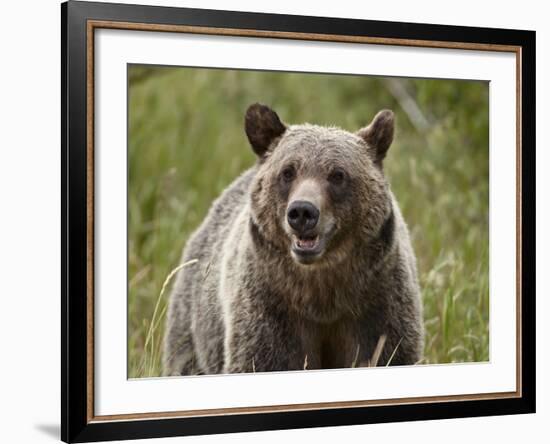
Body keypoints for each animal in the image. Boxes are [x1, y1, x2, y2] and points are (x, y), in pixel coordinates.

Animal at [162, 103, 424, 374]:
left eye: (338, 174)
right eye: (288, 171)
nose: (302, 212)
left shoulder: (377, 305)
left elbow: (387, 352)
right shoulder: (271, 309)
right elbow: (262, 359)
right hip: (194, 321)